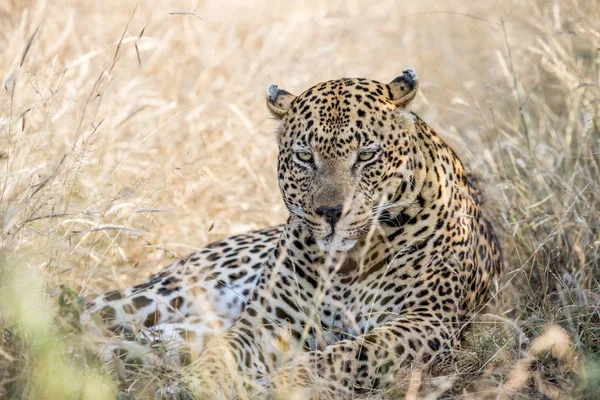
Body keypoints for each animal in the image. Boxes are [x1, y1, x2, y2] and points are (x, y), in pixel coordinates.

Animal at [84, 69, 502, 396]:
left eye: (366, 155)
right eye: (304, 157)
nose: (331, 212)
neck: (346, 263)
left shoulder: (428, 321)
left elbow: (349, 355)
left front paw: (289, 381)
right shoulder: (265, 323)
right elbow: (225, 354)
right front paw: (199, 383)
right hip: (164, 295)